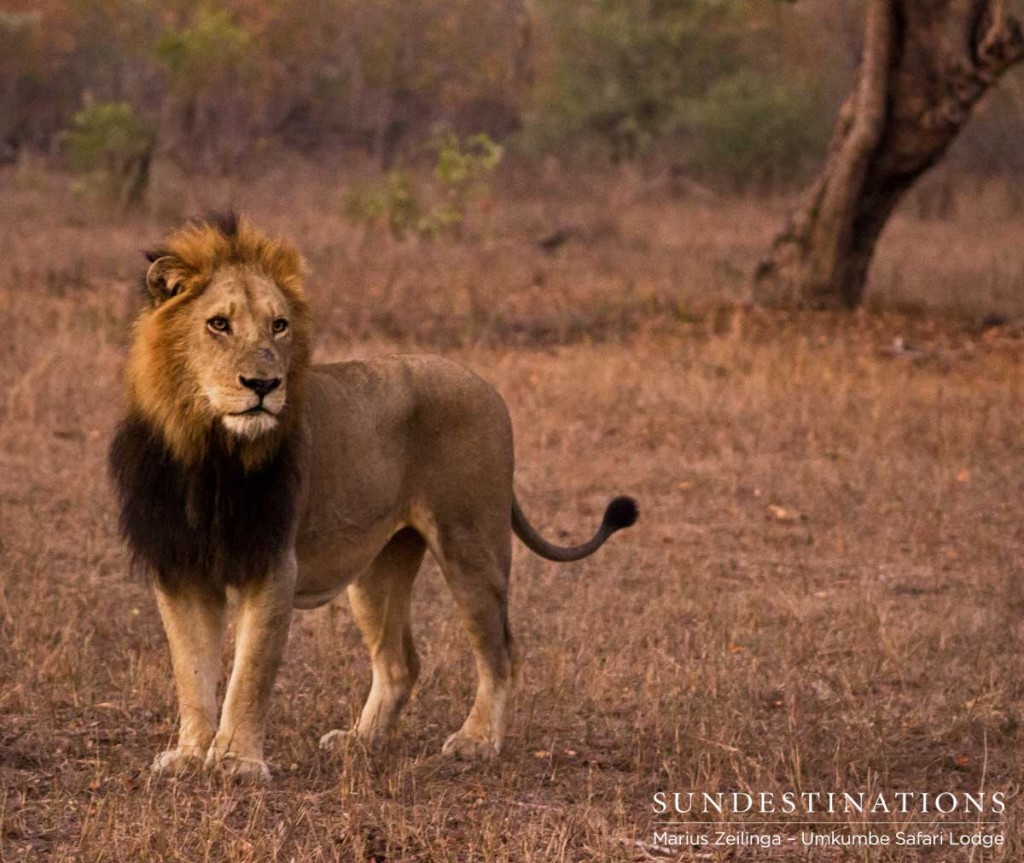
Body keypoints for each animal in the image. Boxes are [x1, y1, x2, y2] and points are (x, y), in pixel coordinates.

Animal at [108, 213, 634, 782]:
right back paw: (360, 740)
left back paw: (475, 742)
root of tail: (484, 383)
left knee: (502, 653)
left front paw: (235, 761)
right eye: (218, 324)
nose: (264, 384)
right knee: (401, 662)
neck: (208, 448)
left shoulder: (272, 561)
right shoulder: (179, 566)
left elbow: (250, 672)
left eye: (279, 325)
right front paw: (188, 755)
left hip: (471, 543)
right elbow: (191, 670)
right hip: (377, 568)